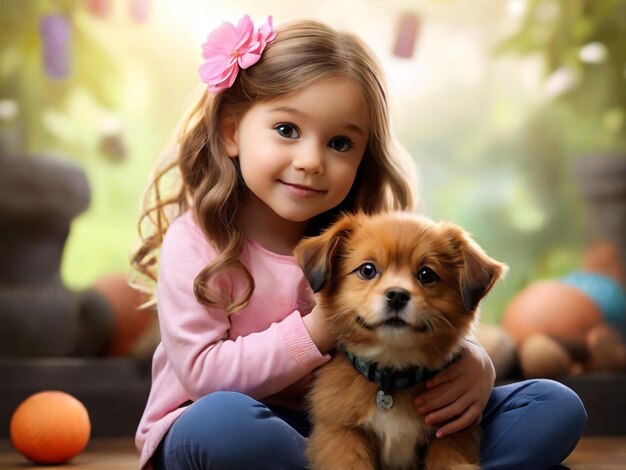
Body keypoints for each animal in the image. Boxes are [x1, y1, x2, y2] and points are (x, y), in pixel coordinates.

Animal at [294, 213, 504, 470]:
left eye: (427, 275)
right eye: (367, 270)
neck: (392, 372)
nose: (397, 295)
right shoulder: (341, 435)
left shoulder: (452, 434)